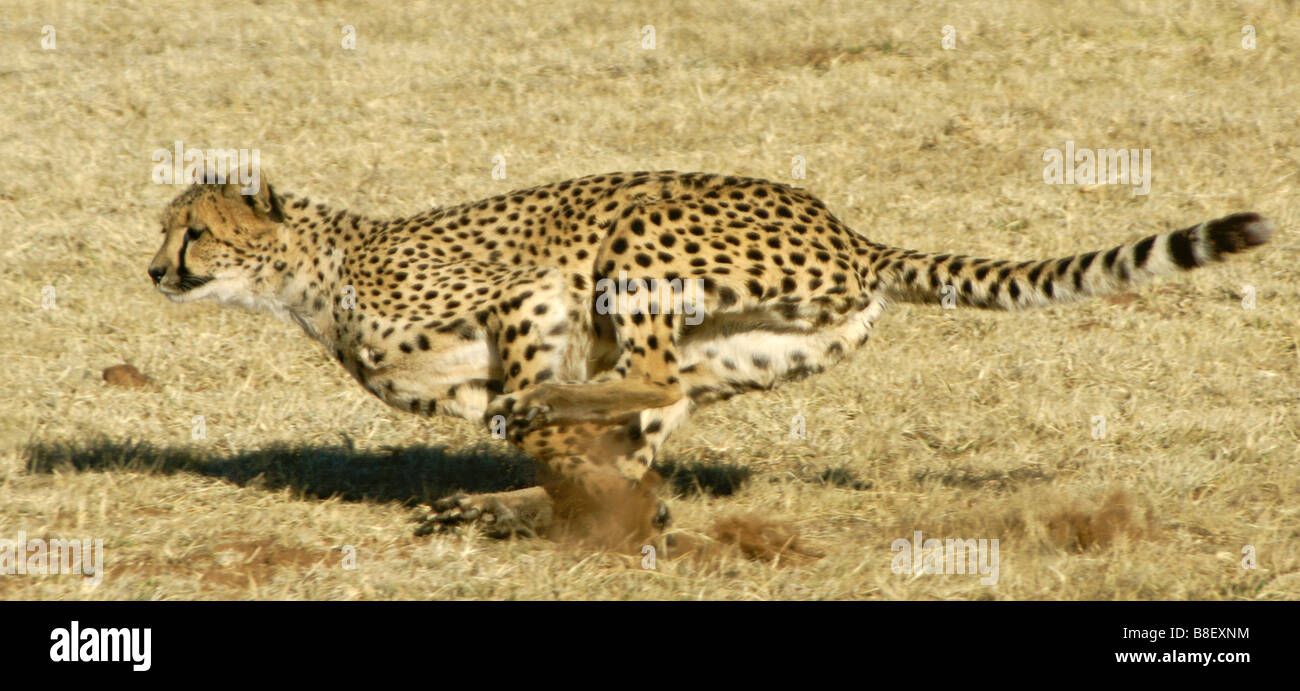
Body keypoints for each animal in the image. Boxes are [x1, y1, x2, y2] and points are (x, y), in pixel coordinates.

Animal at [147, 170, 1274, 542]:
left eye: (194, 230)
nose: (155, 269)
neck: (310, 269)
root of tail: (851, 232)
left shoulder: (530, 296)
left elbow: (532, 397)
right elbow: (578, 456)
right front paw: (543, 504)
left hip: (638, 239)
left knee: (623, 380)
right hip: (748, 350)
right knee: (641, 416)